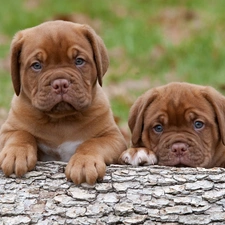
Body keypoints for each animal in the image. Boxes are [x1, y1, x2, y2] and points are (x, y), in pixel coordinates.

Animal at [0, 20, 126, 184]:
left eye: (79, 61)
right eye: (36, 65)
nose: (60, 83)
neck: (61, 119)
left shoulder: (113, 137)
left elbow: (93, 143)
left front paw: (84, 162)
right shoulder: (7, 131)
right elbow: (21, 134)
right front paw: (16, 153)